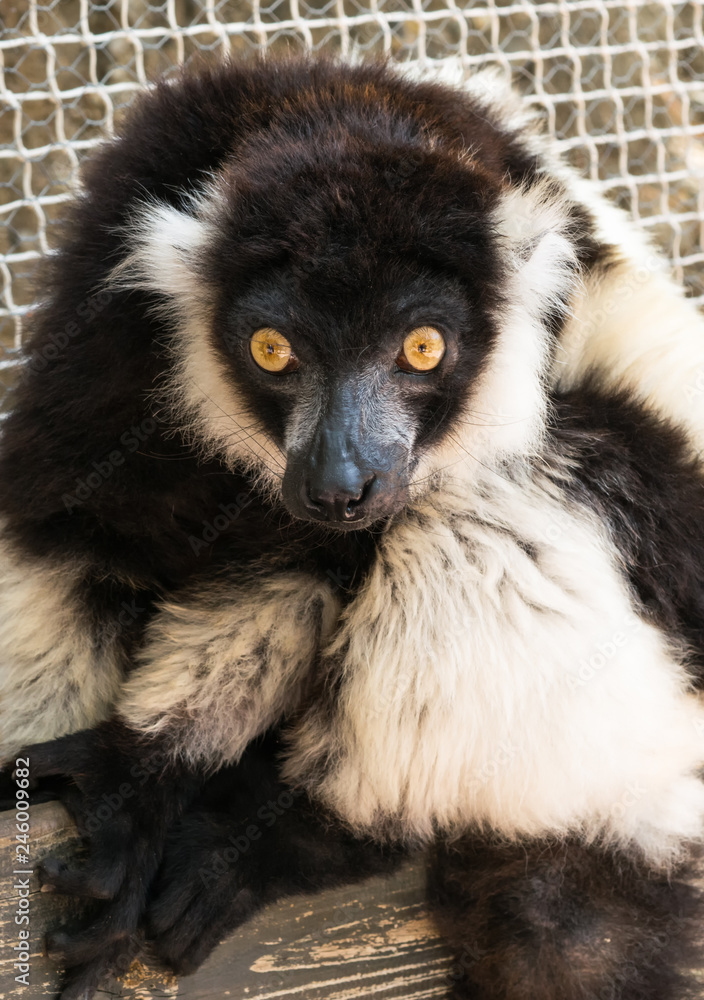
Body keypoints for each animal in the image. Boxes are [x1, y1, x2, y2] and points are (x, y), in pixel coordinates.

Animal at [2, 54, 704, 1000]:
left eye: (422, 348)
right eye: (272, 350)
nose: (341, 483)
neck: (331, 114)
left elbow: (290, 562)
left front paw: (151, 774)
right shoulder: (106, 323)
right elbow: (81, 530)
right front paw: (127, 784)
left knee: (509, 489)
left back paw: (291, 835)